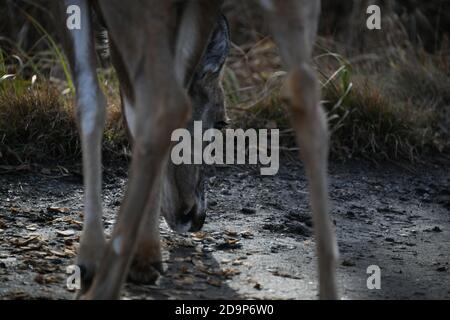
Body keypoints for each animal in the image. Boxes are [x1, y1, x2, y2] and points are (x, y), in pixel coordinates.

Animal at [56, 0, 338, 300]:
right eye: (222, 121)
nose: (196, 216)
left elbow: (91, 101)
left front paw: (89, 259)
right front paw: (146, 257)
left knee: (164, 103)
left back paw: (102, 286)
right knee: (307, 100)